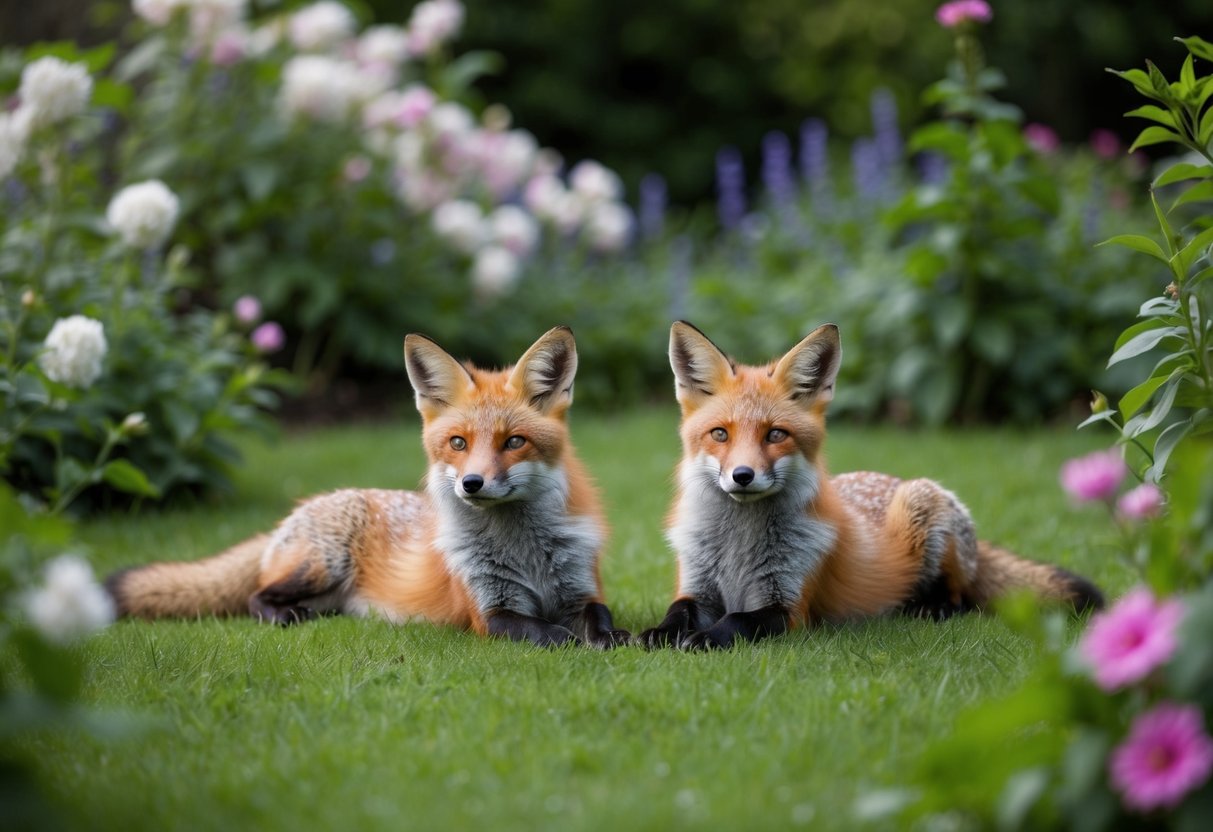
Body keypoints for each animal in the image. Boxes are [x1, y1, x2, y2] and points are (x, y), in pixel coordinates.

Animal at [105, 326, 630, 648]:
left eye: (514, 442)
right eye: (458, 443)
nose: (472, 483)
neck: (525, 553)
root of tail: (306, 507)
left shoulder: (581, 591)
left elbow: (599, 618)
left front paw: (614, 638)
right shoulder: (489, 610)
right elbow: (549, 633)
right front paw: (585, 646)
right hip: (322, 565)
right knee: (256, 594)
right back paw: (281, 615)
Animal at [638, 321, 1104, 650]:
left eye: (775, 435)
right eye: (720, 434)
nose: (742, 476)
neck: (738, 548)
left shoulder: (791, 604)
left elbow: (737, 620)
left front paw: (704, 638)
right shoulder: (697, 584)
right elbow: (677, 612)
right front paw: (658, 634)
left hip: (923, 509)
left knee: (961, 597)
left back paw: (926, 607)